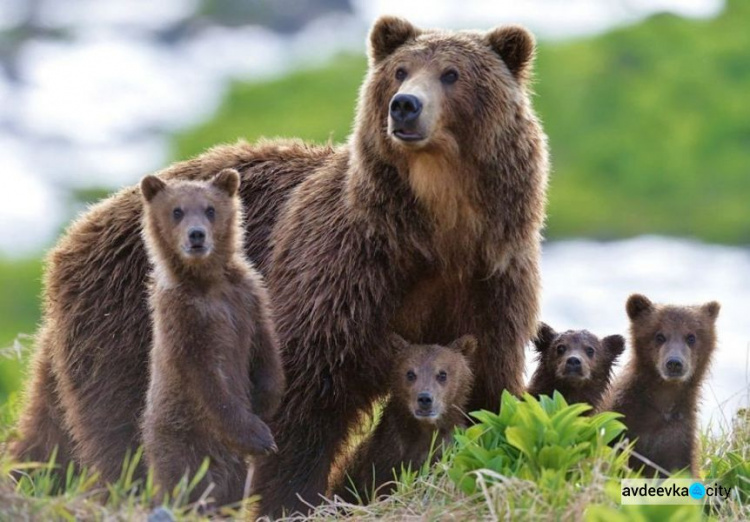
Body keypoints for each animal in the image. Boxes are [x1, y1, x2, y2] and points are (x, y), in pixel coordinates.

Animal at [11, 16, 548, 516]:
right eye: (400, 71)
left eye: (451, 73)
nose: (405, 105)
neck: (436, 231)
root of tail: (76, 233)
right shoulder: (346, 269)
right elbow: (304, 390)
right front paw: (291, 499)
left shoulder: (489, 282)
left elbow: (488, 386)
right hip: (127, 325)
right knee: (120, 425)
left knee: (51, 428)